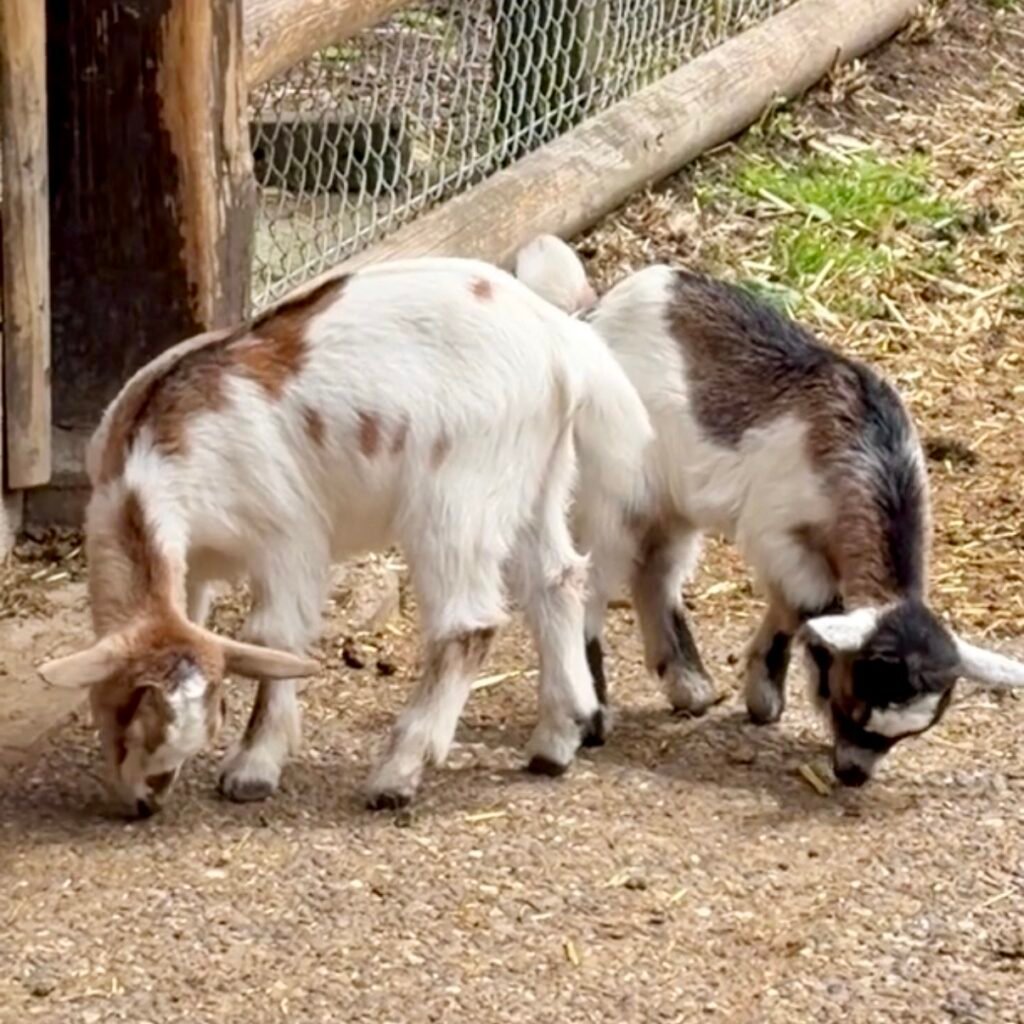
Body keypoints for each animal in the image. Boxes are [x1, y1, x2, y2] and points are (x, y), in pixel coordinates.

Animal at [37, 257, 652, 816]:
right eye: (126, 709)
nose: (146, 800)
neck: (159, 453)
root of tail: (560, 340)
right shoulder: (194, 562)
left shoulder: (288, 535)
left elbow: (275, 637)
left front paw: (253, 768)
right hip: (537, 475)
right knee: (557, 579)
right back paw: (555, 743)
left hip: (460, 495)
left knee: (467, 625)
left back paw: (398, 773)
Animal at [516, 234, 1024, 786]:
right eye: (853, 702)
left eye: (909, 733)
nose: (852, 774)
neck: (861, 451)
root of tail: (590, 313)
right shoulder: (777, 530)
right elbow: (811, 605)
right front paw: (774, 690)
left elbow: (791, 606)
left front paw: (762, 693)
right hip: (608, 488)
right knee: (593, 581)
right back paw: (593, 720)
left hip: (670, 500)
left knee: (657, 572)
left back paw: (690, 687)